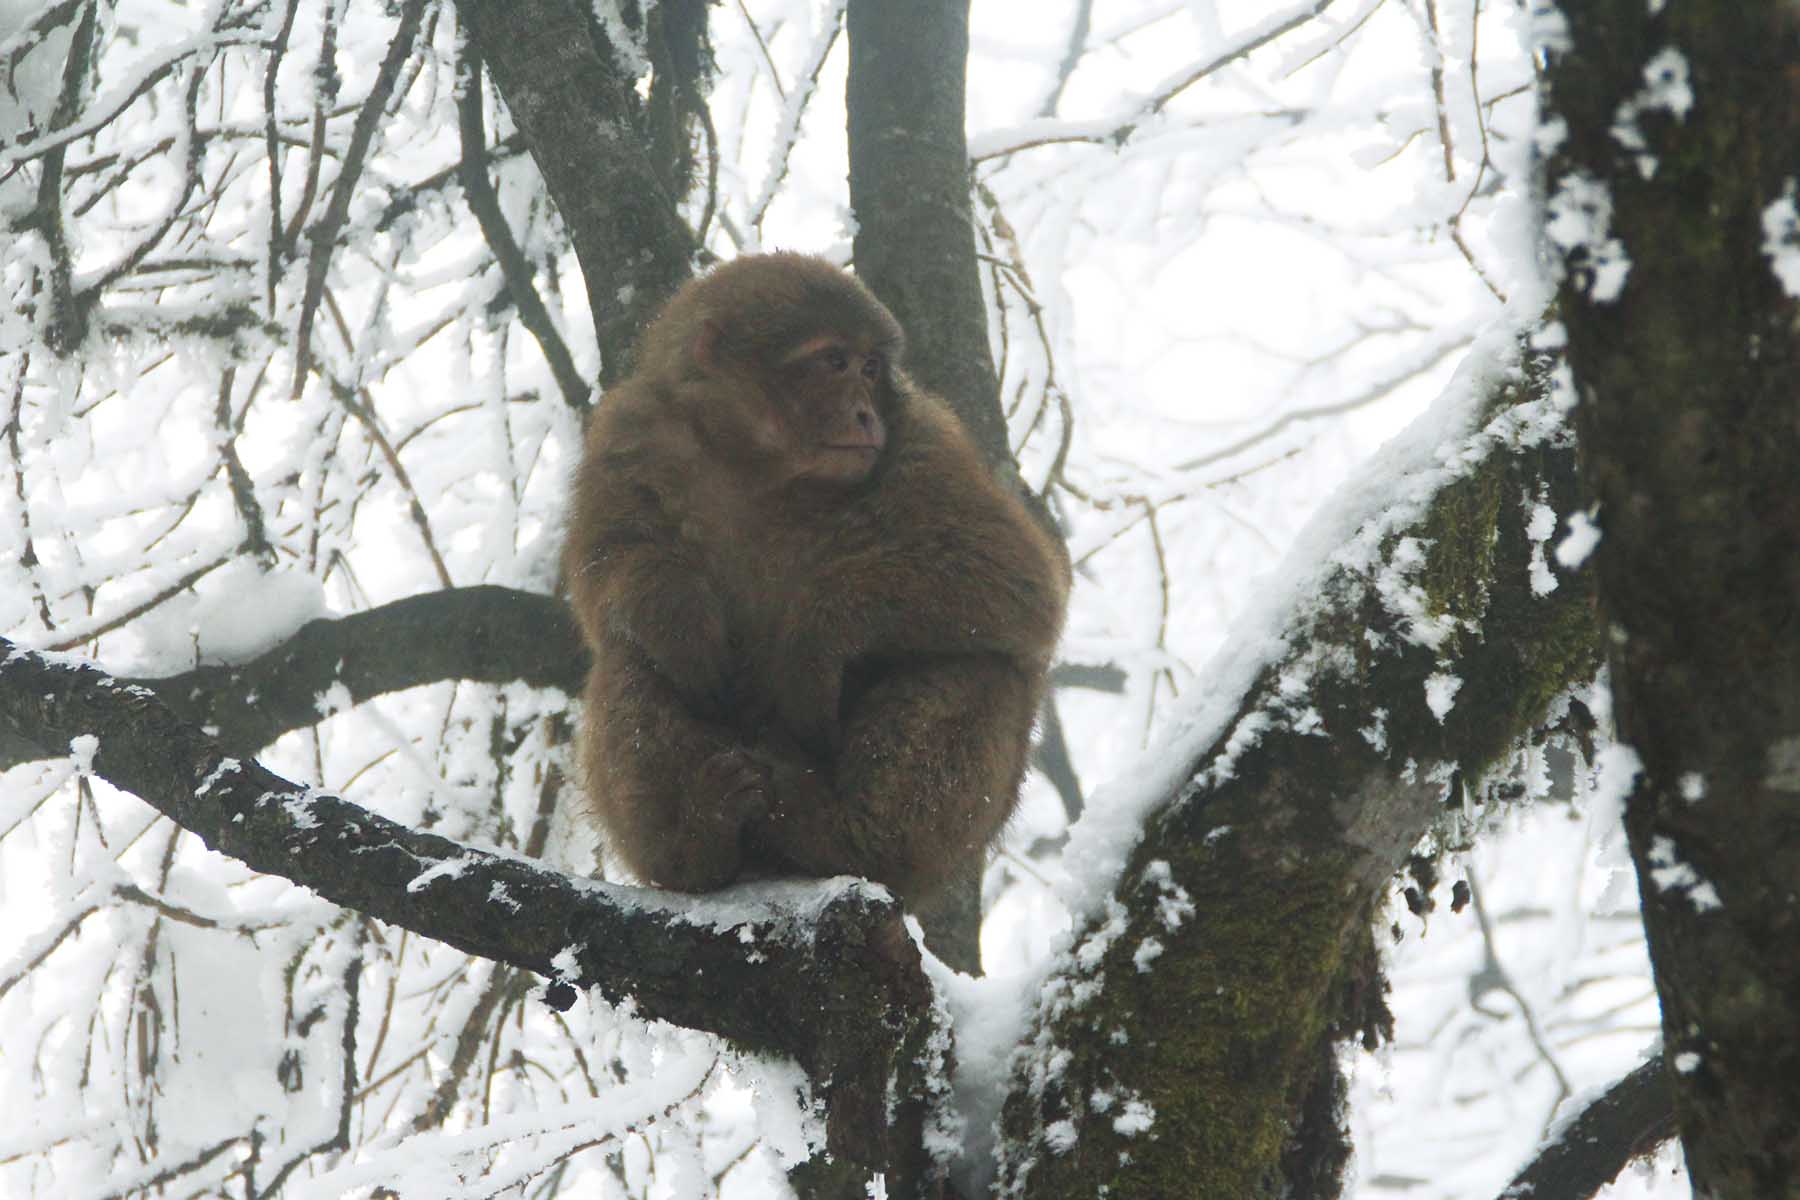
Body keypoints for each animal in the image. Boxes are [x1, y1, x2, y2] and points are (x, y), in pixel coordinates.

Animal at [561, 255, 1065, 910]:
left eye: (871, 368)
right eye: (833, 362)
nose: (866, 413)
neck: (765, 470)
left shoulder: (923, 441)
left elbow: (1018, 576)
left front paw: (815, 640)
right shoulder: (630, 434)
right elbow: (607, 575)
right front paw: (678, 617)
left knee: (978, 663)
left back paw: (846, 837)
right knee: (632, 659)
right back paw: (697, 840)